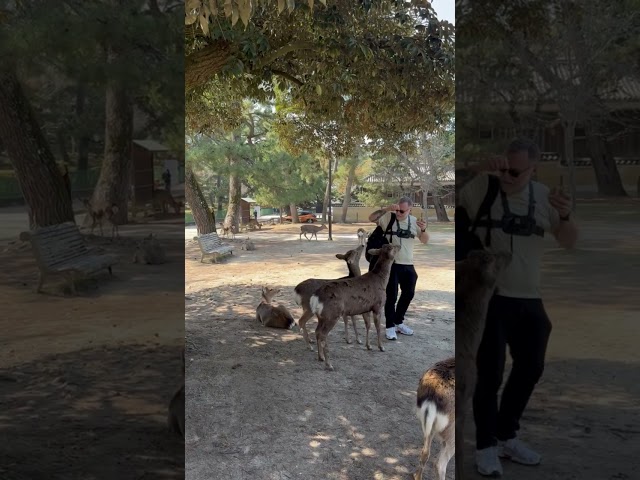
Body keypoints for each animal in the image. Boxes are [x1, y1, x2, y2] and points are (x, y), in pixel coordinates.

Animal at [310, 244, 400, 372]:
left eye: (388, 245)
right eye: (392, 247)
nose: (399, 245)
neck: (382, 281)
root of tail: (315, 297)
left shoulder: (366, 308)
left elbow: (368, 325)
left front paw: (368, 346)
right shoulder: (378, 306)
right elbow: (378, 328)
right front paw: (381, 347)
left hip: (321, 316)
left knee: (317, 331)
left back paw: (320, 357)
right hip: (332, 314)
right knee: (323, 334)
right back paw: (329, 364)